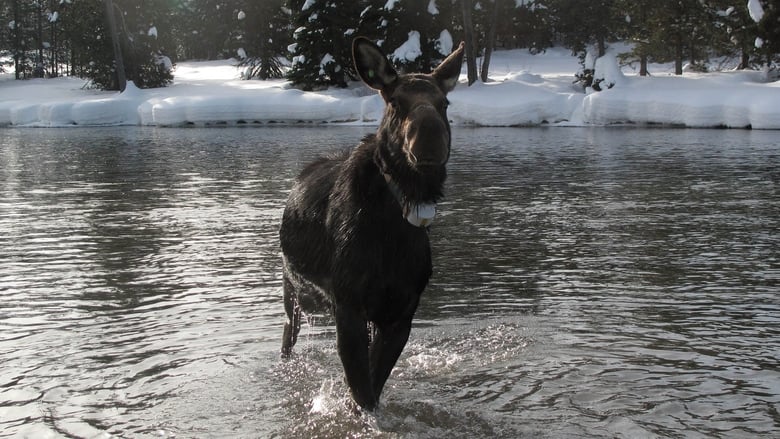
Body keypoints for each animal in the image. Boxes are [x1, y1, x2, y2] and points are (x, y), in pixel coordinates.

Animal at [278, 37, 464, 412]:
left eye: (444, 102)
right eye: (396, 101)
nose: (430, 134)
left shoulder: (400, 313)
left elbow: (373, 390)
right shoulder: (348, 306)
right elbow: (362, 393)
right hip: (297, 296)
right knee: (287, 336)